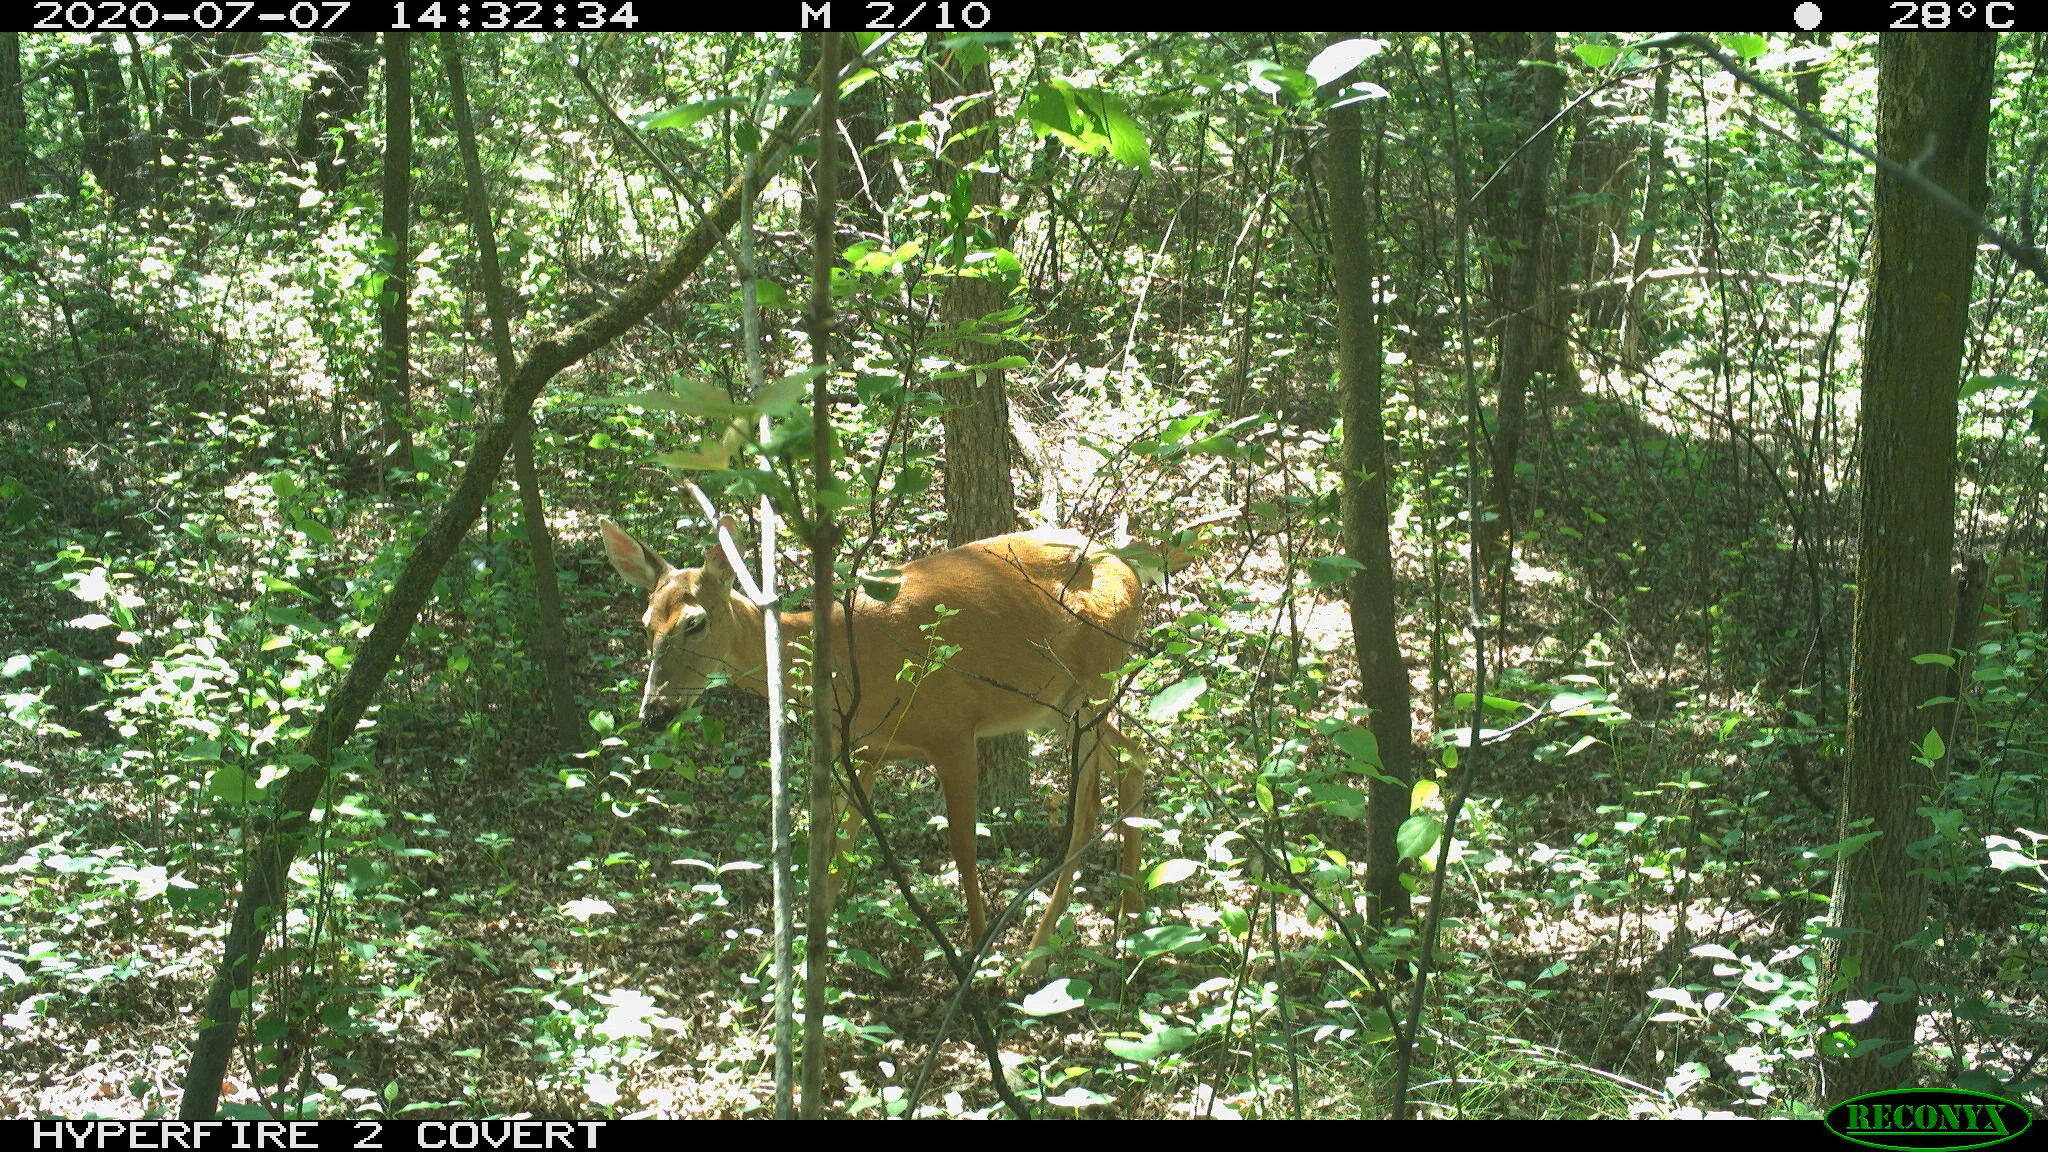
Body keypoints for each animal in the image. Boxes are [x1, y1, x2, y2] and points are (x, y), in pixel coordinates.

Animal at [600, 517, 1147, 975]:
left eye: (695, 622)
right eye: (646, 625)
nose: (654, 713)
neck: (846, 660)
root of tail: (1130, 567)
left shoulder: (952, 728)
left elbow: (963, 847)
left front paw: (974, 954)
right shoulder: (862, 748)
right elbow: (837, 850)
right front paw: (800, 965)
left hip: (1094, 678)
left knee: (1118, 768)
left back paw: (1045, 952)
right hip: (1057, 705)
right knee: (1124, 765)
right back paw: (1125, 920)